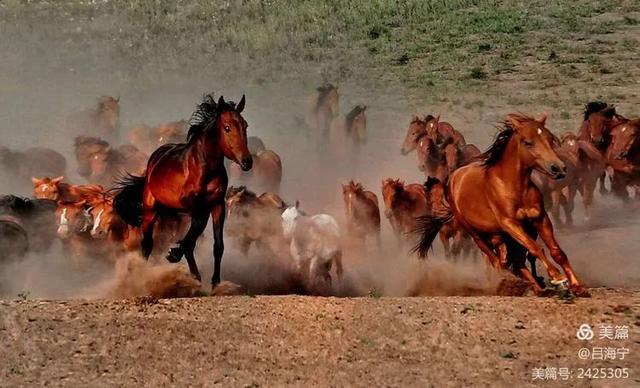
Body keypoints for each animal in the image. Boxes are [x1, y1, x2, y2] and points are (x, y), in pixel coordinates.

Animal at [115, 94, 252, 284]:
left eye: (245, 125)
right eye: (227, 127)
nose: (247, 161)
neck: (205, 169)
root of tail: (153, 161)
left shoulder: (217, 205)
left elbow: (217, 245)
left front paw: (215, 282)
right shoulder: (195, 207)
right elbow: (192, 237)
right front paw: (173, 254)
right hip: (151, 209)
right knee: (147, 244)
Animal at [412, 112, 588, 298]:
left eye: (550, 139)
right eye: (528, 142)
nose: (558, 168)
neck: (514, 186)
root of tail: (453, 178)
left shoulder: (540, 219)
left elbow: (557, 252)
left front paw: (577, 286)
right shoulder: (510, 223)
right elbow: (535, 248)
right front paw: (558, 279)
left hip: (500, 236)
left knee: (514, 261)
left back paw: (535, 287)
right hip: (475, 233)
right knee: (496, 261)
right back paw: (511, 283)